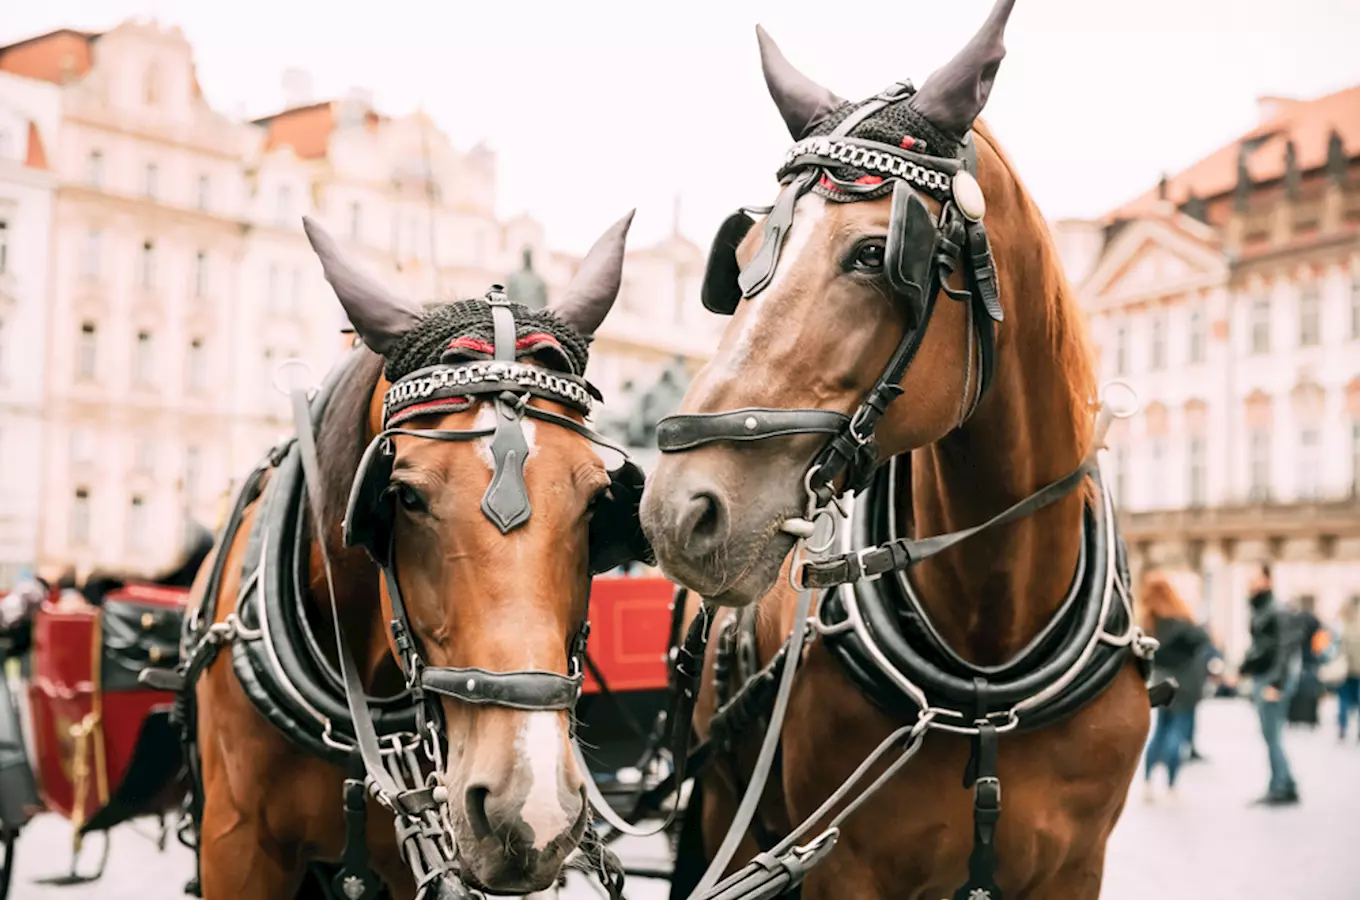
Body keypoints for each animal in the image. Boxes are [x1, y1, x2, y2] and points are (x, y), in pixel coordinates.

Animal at [641, 3, 1153, 897]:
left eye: (875, 255)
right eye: (738, 264)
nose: (679, 509)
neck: (987, 664)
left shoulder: (1076, 866)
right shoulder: (844, 864)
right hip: (727, 816)